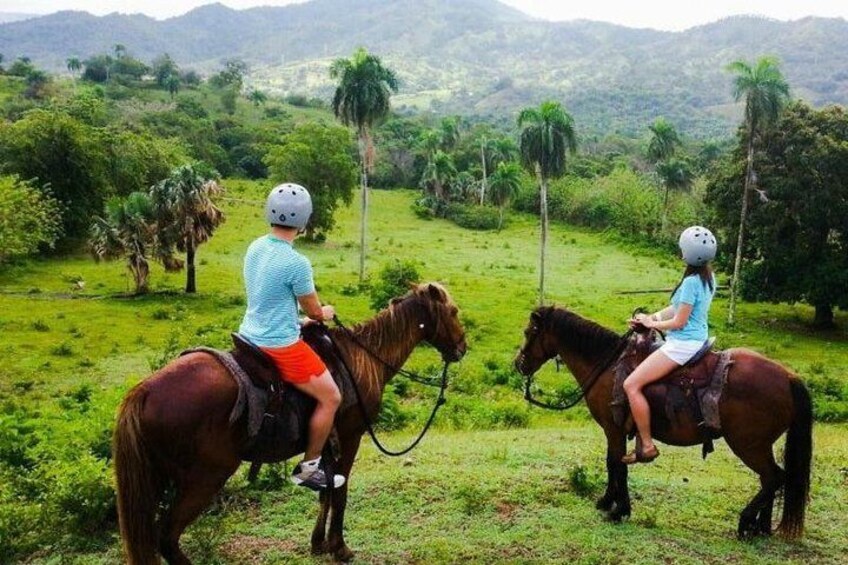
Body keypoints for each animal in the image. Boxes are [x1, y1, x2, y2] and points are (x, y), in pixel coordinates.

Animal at [112, 284, 468, 560]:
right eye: (453, 311)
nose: (462, 348)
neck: (362, 359)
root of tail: (143, 391)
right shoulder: (350, 435)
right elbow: (341, 491)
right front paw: (339, 548)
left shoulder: (327, 445)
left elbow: (326, 491)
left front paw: (318, 544)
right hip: (205, 477)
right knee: (167, 539)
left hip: (158, 479)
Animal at [512, 306, 812, 540]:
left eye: (528, 332)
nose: (519, 364)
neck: (607, 365)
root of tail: (789, 377)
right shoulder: (612, 431)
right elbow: (612, 463)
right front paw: (607, 502)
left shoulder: (614, 428)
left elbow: (618, 465)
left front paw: (619, 510)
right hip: (759, 446)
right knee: (771, 478)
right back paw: (760, 527)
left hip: (748, 445)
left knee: (773, 477)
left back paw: (746, 522)